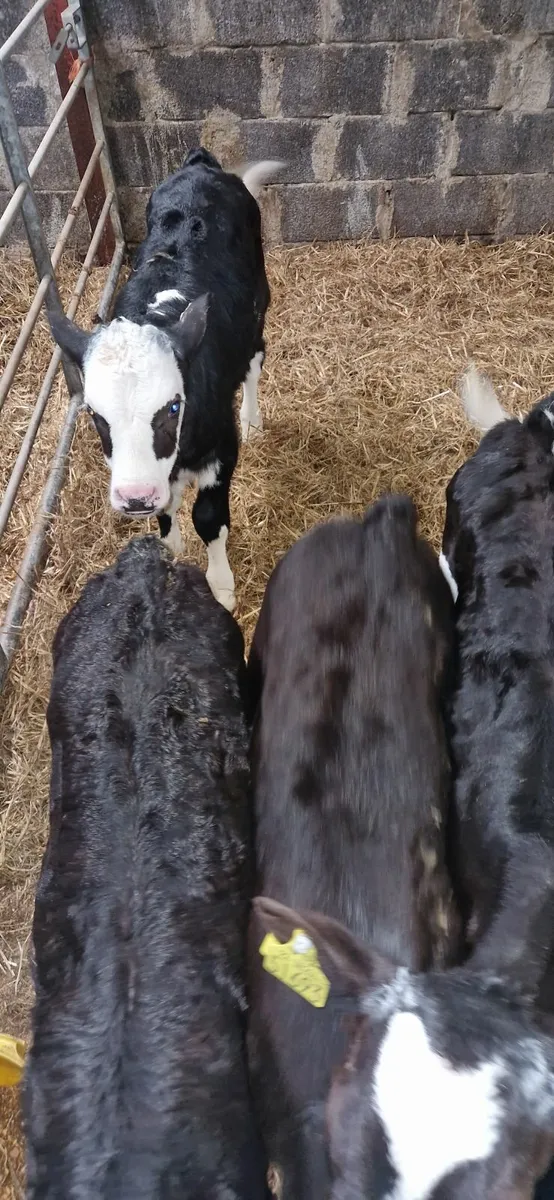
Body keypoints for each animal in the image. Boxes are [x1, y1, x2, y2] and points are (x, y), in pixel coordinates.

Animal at [49, 148, 283, 613]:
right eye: (94, 415)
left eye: (174, 405)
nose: (135, 497)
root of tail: (201, 165)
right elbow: (167, 509)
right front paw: (170, 545)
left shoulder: (221, 450)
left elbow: (208, 518)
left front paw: (221, 585)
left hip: (258, 304)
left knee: (254, 361)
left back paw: (252, 418)